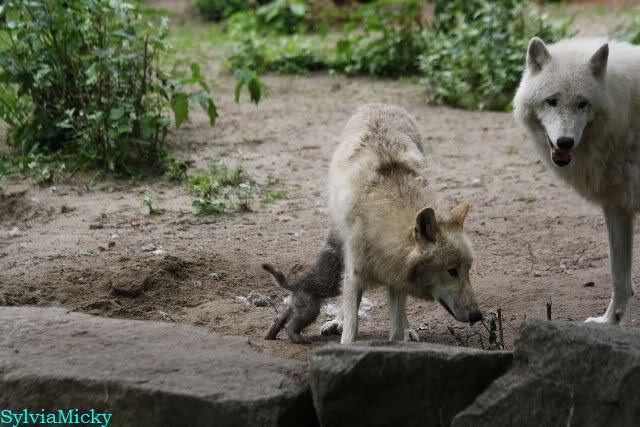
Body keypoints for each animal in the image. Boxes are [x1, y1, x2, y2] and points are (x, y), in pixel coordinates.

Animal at [320, 103, 483, 344]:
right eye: (452, 271)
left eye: (468, 269)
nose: (477, 315)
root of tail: (380, 104)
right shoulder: (356, 276)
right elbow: (351, 326)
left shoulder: (397, 279)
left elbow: (395, 327)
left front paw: (400, 339)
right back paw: (338, 320)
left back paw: (408, 330)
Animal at [513, 37, 640, 324]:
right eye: (551, 101)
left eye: (583, 104)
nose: (565, 142)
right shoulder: (617, 206)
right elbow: (619, 277)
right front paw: (609, 323)